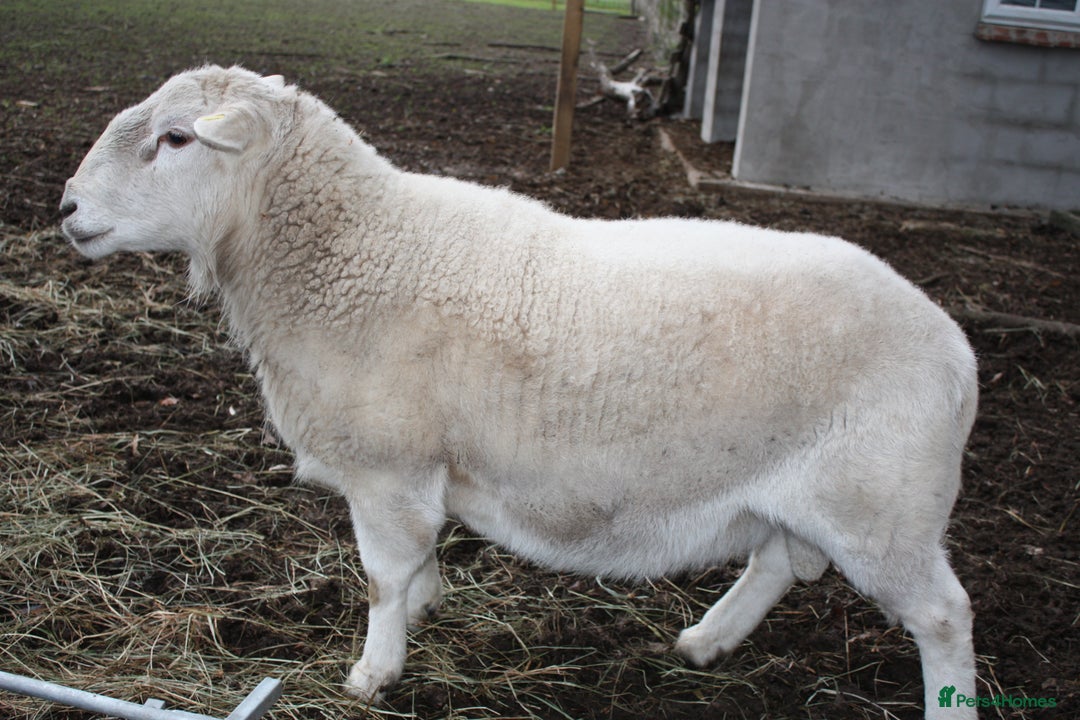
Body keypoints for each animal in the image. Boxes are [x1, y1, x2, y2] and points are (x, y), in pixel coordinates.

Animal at [59, 65, 978, 718]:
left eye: (176, 138)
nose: (66, 208)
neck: (348, 252)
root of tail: (957, 348)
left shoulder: (389, 465)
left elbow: (382, 576)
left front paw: (373, 672)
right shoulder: (416, 471)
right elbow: (419, 560)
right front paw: (426, 609)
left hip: (884, 505)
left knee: (943, 615)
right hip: (810, 491)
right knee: (779, 559)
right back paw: (705, 642)